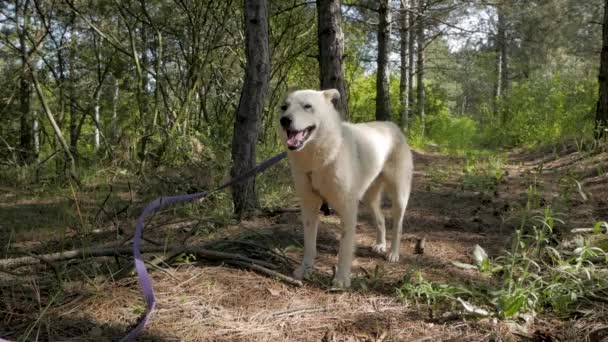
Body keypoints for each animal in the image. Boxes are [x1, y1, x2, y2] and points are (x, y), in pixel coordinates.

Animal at [280, 89, 414, 288]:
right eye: (284, 107)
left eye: (307, 106)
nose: (284, 120)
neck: (321, 159)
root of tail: (392, 126)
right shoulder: (309, 208)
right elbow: (309, 245)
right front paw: (305, 270)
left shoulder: (348, 209)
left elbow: (344, 249)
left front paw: (342, 279)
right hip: (368, 198)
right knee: (381, 219)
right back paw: (380, 244)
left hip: (398, 195)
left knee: (397, 225)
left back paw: (393, 253)